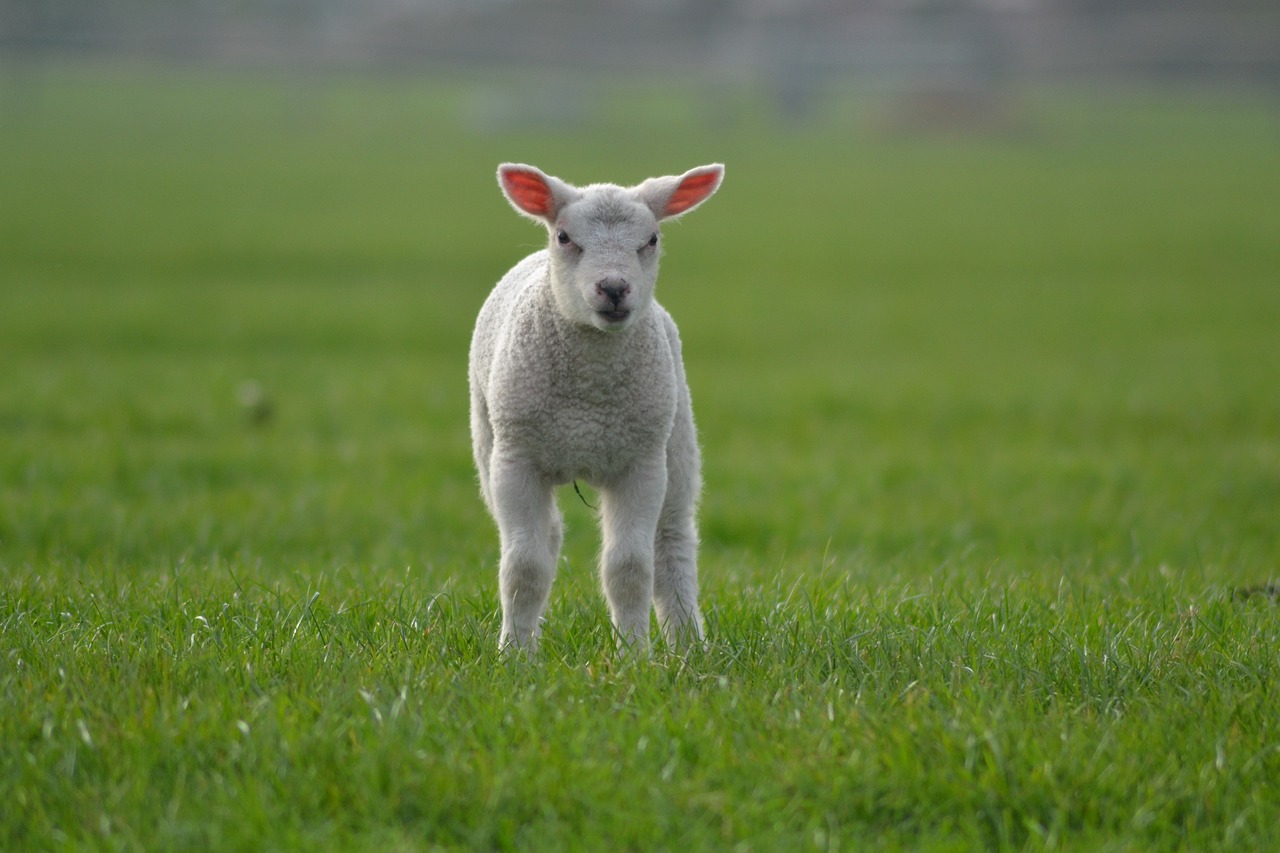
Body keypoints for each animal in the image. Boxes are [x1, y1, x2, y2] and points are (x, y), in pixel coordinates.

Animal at [473, 161, 732, 650]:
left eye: (652, 239)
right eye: (564, 237)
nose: (613, 287)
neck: (588, 399)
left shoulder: (641, 464)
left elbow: (629, 569)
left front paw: (633, 654)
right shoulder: (516, 459)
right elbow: (524, 568)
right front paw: (514, 654)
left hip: (676, 441)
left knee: (671, 543)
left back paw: (689, 645)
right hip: (488, 444)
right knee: (547, 538)